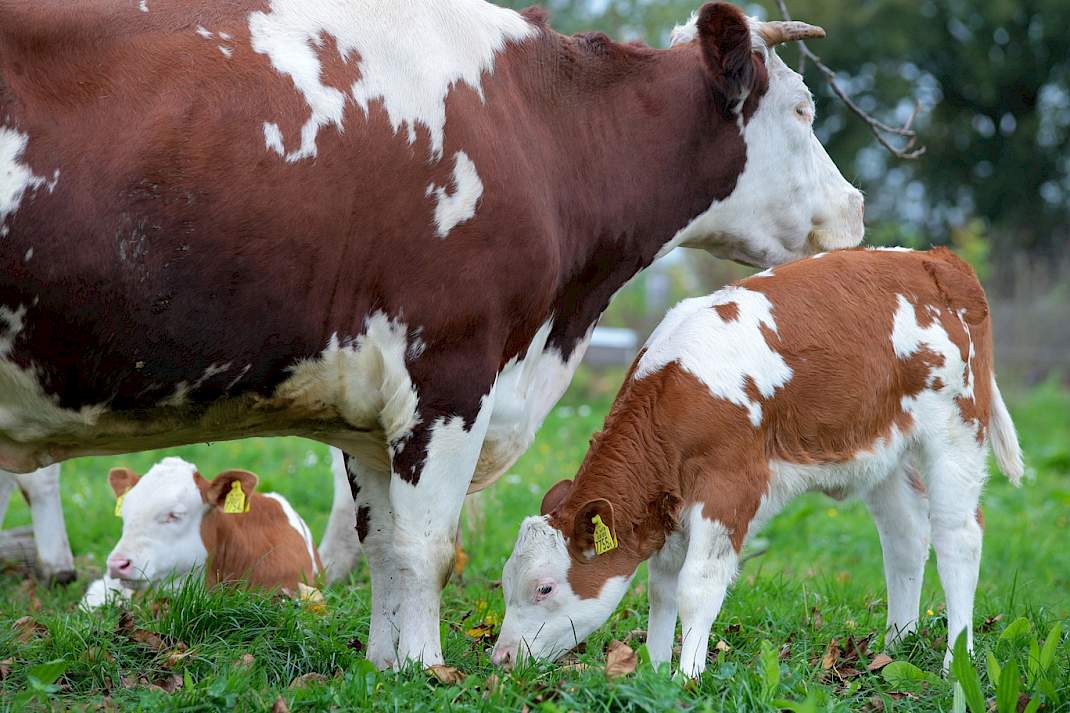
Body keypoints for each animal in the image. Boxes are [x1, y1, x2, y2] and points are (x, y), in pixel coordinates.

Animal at [492, 248, 1024, 677]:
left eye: (543, 588)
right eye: (506, 582)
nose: (501, 658)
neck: (677, 390)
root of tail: (935, 260)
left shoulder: (729, 489)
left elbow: (696, 587)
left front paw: (687, 677)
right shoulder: (668, 506)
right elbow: (662, 587)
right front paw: (655, 668)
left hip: (955, 430)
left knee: (958, 538)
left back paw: (957, 660)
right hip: (885, 454)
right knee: (905, 539)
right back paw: (894, 646)